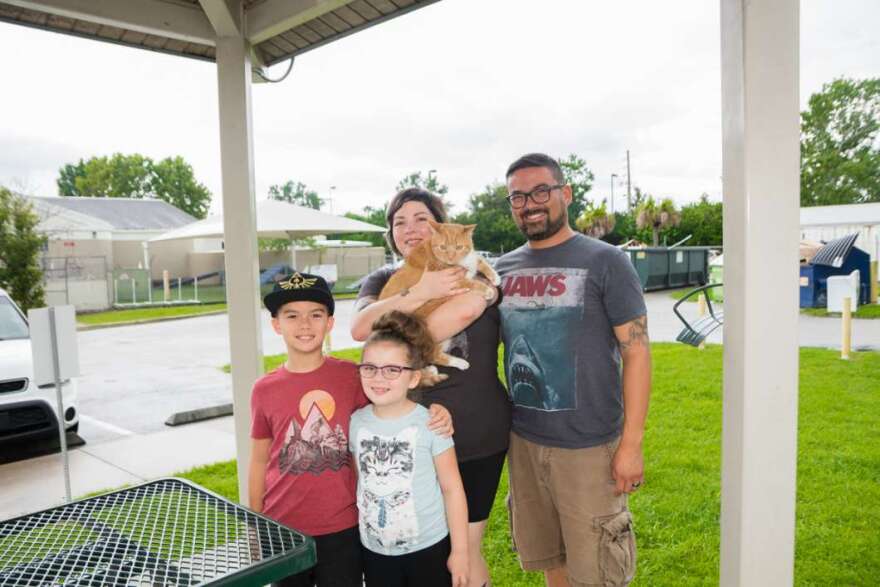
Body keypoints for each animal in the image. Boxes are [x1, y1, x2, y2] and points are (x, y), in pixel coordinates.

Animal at [380, 220, 502, 386]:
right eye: (443, 247)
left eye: (458, 247)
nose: (450, 258)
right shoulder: (452, 281)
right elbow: (471, 283)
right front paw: (487, 290)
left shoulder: (470, 259)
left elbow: (479, 260)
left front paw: (495, 277)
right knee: (434, 356)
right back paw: (459, 363)